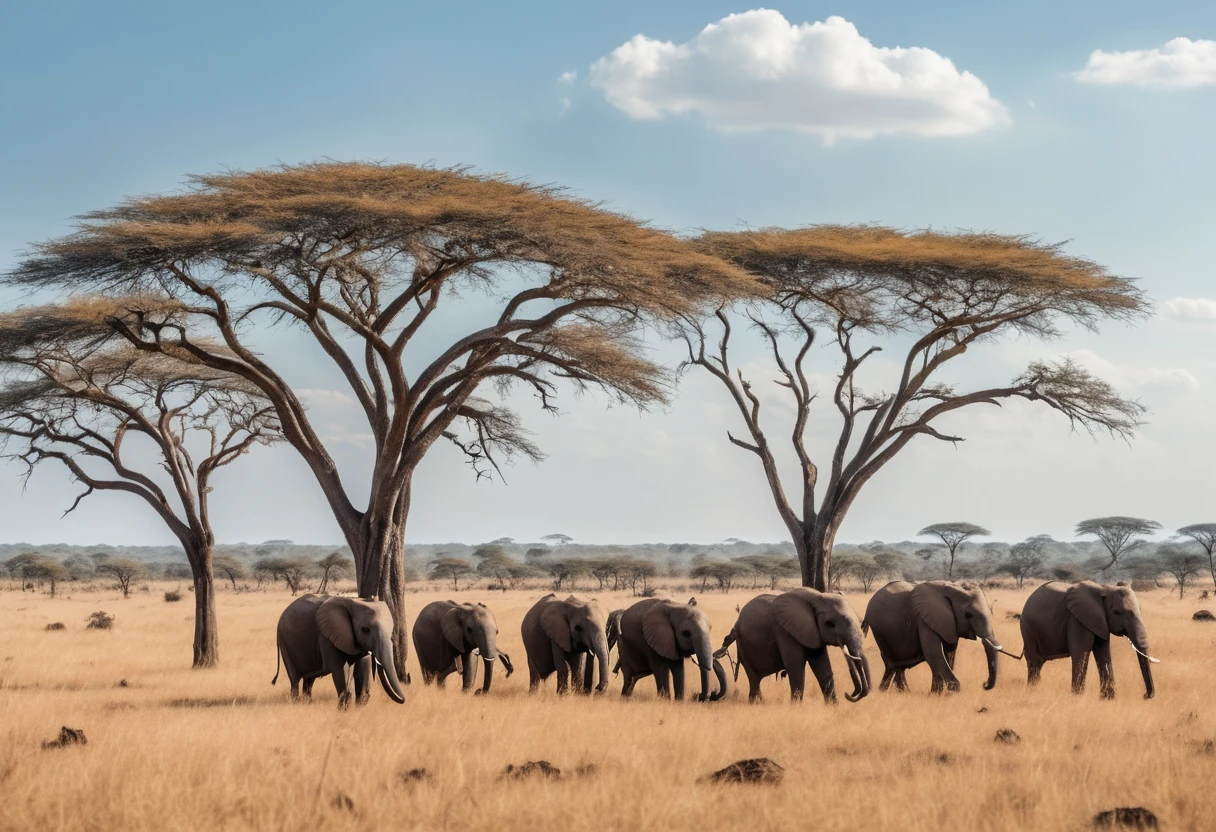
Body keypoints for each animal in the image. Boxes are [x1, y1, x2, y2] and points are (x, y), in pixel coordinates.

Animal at [272, 594, 406, 707]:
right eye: (365, 629)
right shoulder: (326, 635)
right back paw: (295, 703)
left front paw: (358, 708)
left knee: (308, 680)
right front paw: (344, 710)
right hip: (284, 643)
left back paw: (307, 702)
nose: (379, 664)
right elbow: (340, 669)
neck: (354, 601)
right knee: (294, 680)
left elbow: (363, 666)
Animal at [722, 588, 871, 703]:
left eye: (860, 622)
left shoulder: (813, 631)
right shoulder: (784, 630)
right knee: (753, 678)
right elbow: (796, 668)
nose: (849, 694)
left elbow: (824, 670)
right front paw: (796, 708)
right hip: (742, 643)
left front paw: (833, 708)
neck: (817, 597)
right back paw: (757, 704)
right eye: (830, 624)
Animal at [863, 581, 1005, 694]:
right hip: (879, 631)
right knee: (892, 663)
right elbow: (934, 654)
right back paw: (896, 692)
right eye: (968, 615)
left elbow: (948, 654)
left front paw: (936, 693)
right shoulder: (924, 619)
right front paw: (950, 692)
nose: (984, 684)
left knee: (896, 666)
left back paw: (895, 691)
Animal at [1020, 580, 1157, 699]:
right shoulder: (1077, 619)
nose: (1145, 695)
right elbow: (1081, 652)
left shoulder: (1100, 622)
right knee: (1034, 662)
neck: (1104, 588)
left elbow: (1103, 653)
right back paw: (1032, 692)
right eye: (1117, 612)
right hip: (1027, 628)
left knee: (1038, 663)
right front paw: (1077, 699)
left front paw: (1107, 699)